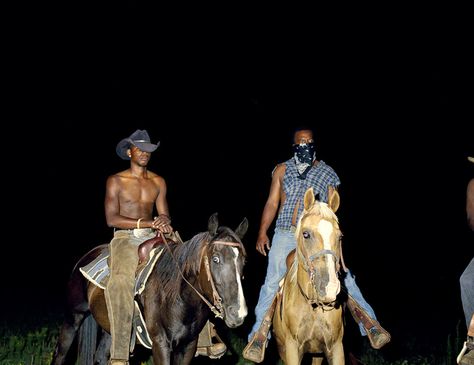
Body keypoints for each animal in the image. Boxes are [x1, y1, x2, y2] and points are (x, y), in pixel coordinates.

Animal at [51, 213, 248, 364]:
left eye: (243, 261)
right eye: (215, 259)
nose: (238, 313)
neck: (176, 297)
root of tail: (85, 258)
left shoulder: (189, 345)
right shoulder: (160, 344)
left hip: (110, 329)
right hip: (73, 318)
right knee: (60, 355)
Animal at [270, 188, 344, 364]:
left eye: (340, 237)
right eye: (306, 234)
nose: (330, 288)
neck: (313, 306)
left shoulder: (336, 347)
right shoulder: (291, 348)